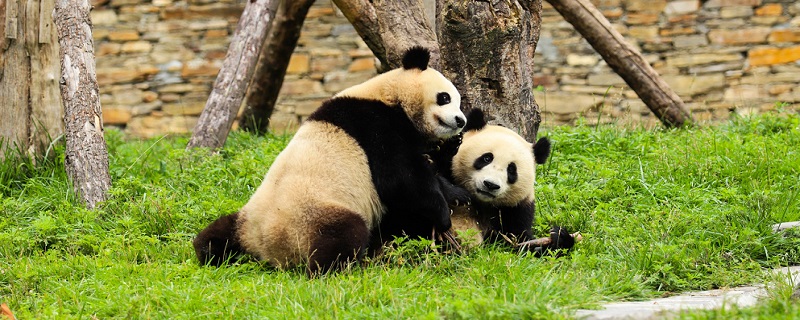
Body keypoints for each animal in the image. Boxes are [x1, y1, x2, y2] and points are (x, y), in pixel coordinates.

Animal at [195, 47, 468, 276]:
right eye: (445, 97)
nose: (461, 120)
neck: (389, 94)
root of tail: (272, 248)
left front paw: (457, 194)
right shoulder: (375, 125)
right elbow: (401, 181)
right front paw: (442, 216)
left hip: (247, 219)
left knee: (213, 236)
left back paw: (209, 251)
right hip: (316, 215)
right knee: (344, 236)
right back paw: (337, 269)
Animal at [438, 110, 576, 255]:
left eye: (511, 170)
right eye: (486, 158)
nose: (490, 185)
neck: (482, 204)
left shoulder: (515, 209)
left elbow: (522, 243)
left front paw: (559, 236)